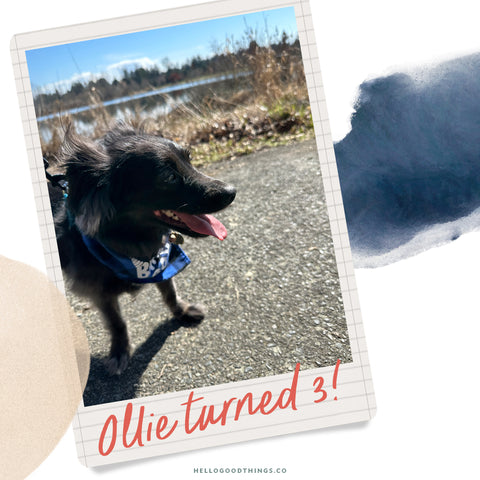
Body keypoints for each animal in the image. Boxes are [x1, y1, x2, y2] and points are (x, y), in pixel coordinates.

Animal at [48, 123, 236, 376]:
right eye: (168, 177)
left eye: (190, 160)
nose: (232, 191)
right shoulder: (99, 292)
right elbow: (117, 323)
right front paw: (119, 352)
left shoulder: (162, 263)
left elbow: (170, 293)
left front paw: (182, 311)